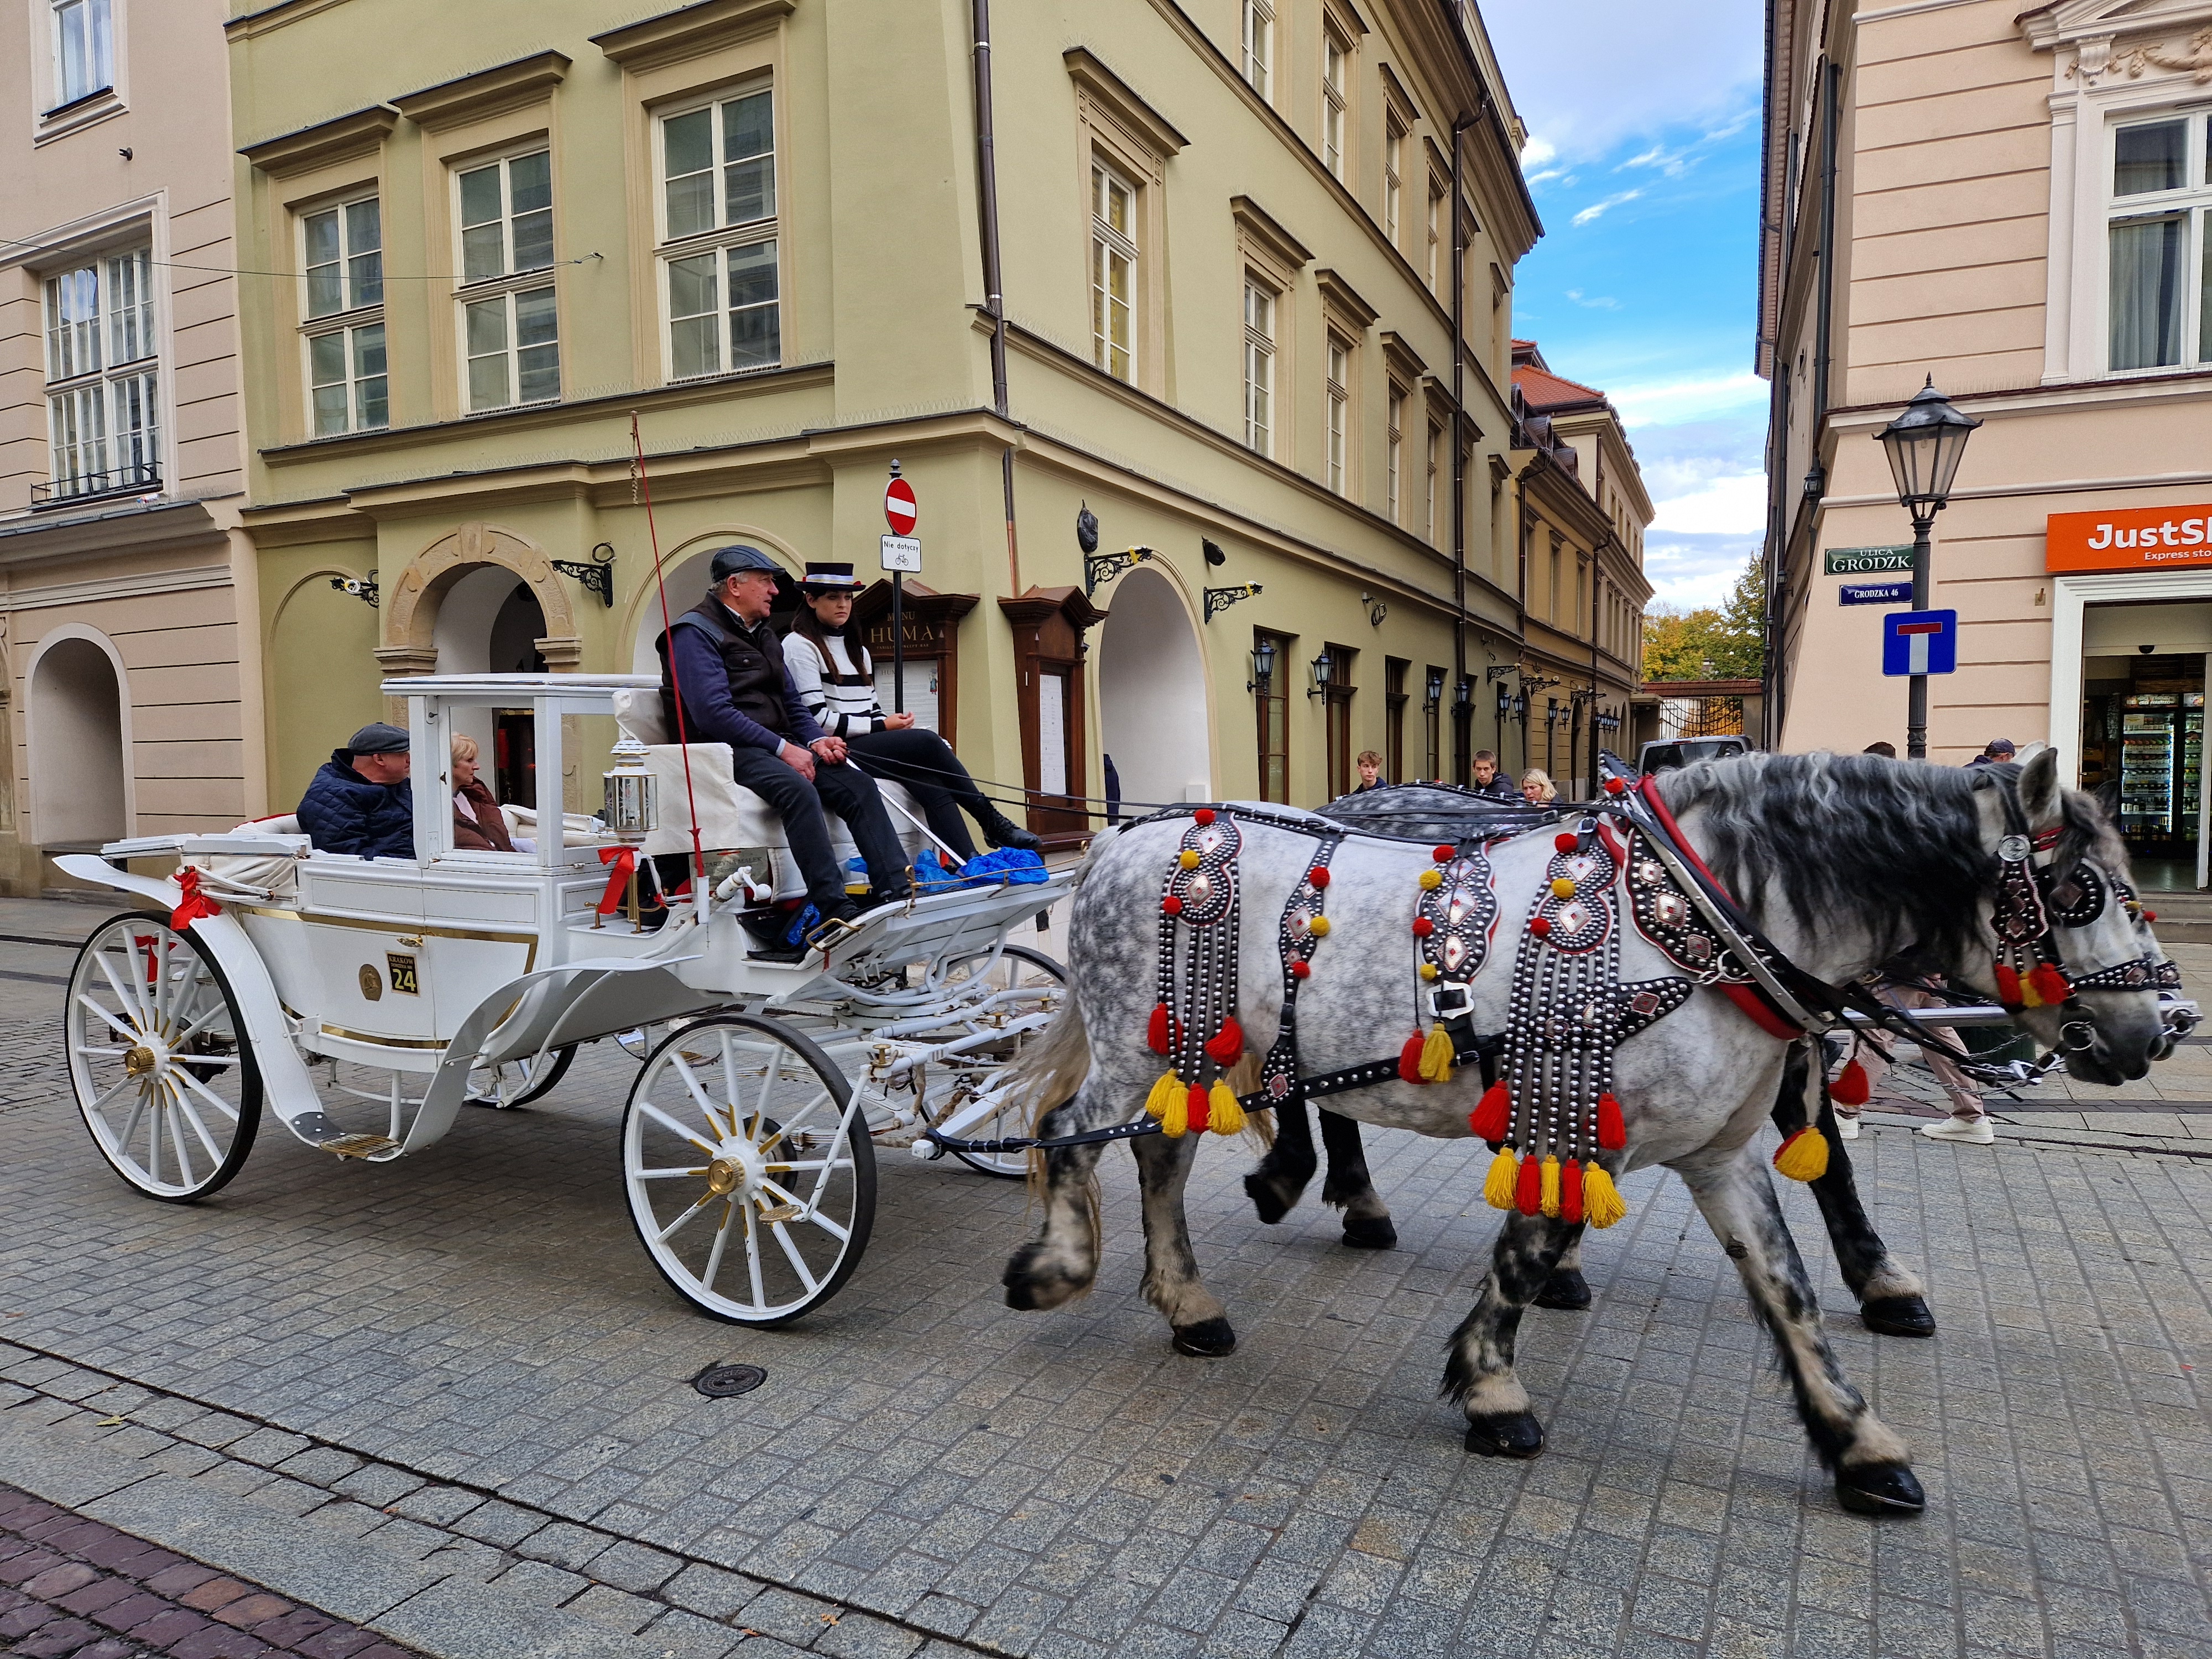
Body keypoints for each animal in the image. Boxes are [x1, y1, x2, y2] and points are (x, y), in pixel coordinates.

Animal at [1000, 750, 2175, 1514]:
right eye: (2084, 889)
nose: (2156, 1030)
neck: (1696, 921)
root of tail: (1128, 833)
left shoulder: (1721, 1153)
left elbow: (1786, 1286)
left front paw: (1858, 1441)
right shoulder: (1585, 1131)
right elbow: (1533, 1247)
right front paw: (1492, 1388)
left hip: (1191, 1055)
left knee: (1163, 1150)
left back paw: (1193, 1300)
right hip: (1137, 1042)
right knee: (1072, 1131)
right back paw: (1059, 1265)